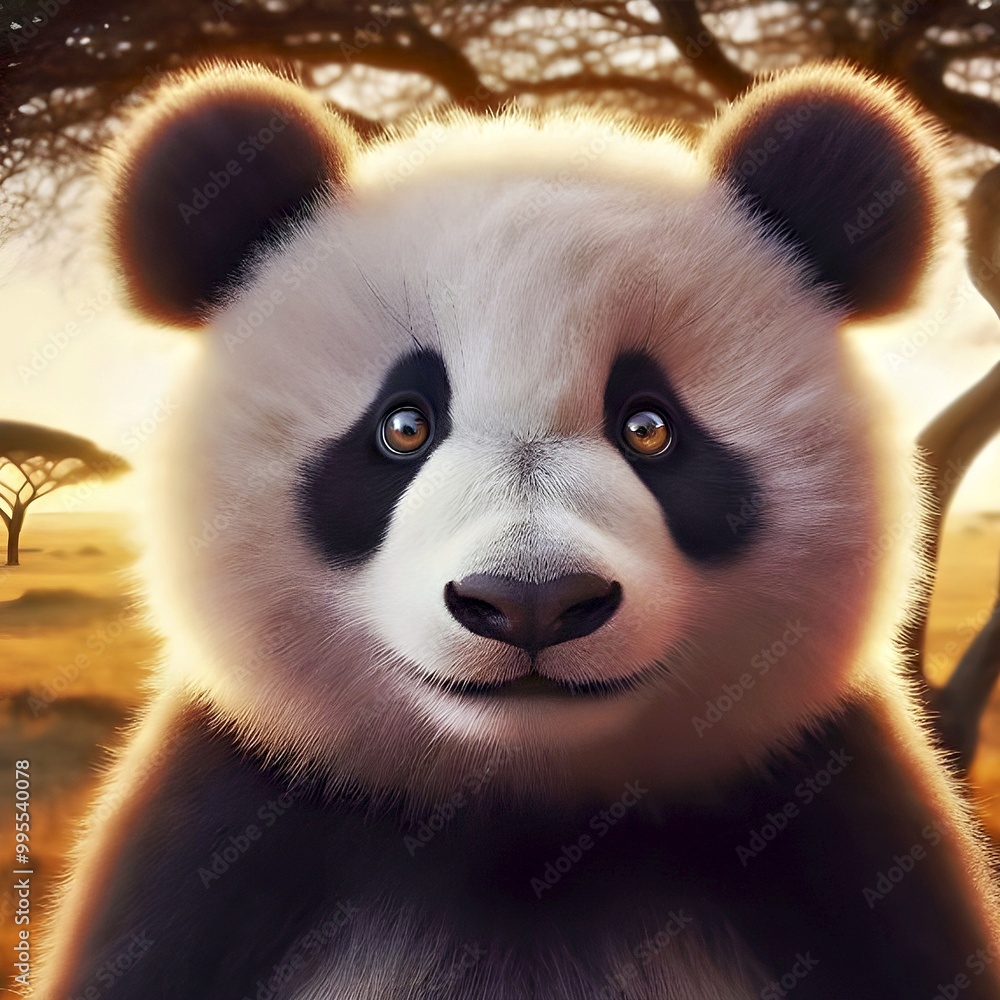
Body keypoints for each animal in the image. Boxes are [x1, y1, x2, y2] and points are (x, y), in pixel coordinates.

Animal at [34, 62, 1000, 999]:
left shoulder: (835, 828)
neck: (523, 818)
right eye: (403, 426)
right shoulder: (219, 841)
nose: (532, 601)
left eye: (649, 427)